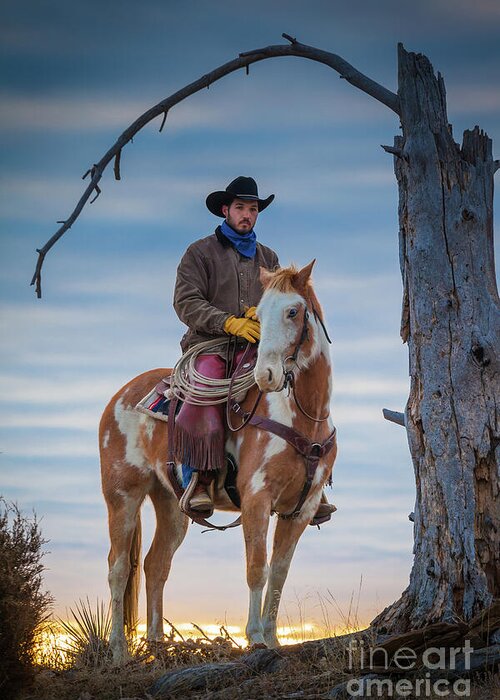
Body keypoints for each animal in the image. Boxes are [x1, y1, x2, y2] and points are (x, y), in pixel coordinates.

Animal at [99, 262, 338, 660]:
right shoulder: (257, 498)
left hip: (172, 505)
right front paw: (255, 637)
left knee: (156, 564)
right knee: (118, 568)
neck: (303, 417)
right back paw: (119, 650)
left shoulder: (300, 510)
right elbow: (257, 568)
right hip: (123, 497)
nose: (265, 375)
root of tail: (121, 396)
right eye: (260, 313)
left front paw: (273, 638)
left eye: (293, 311)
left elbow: (279, 573)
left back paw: (157, 645)